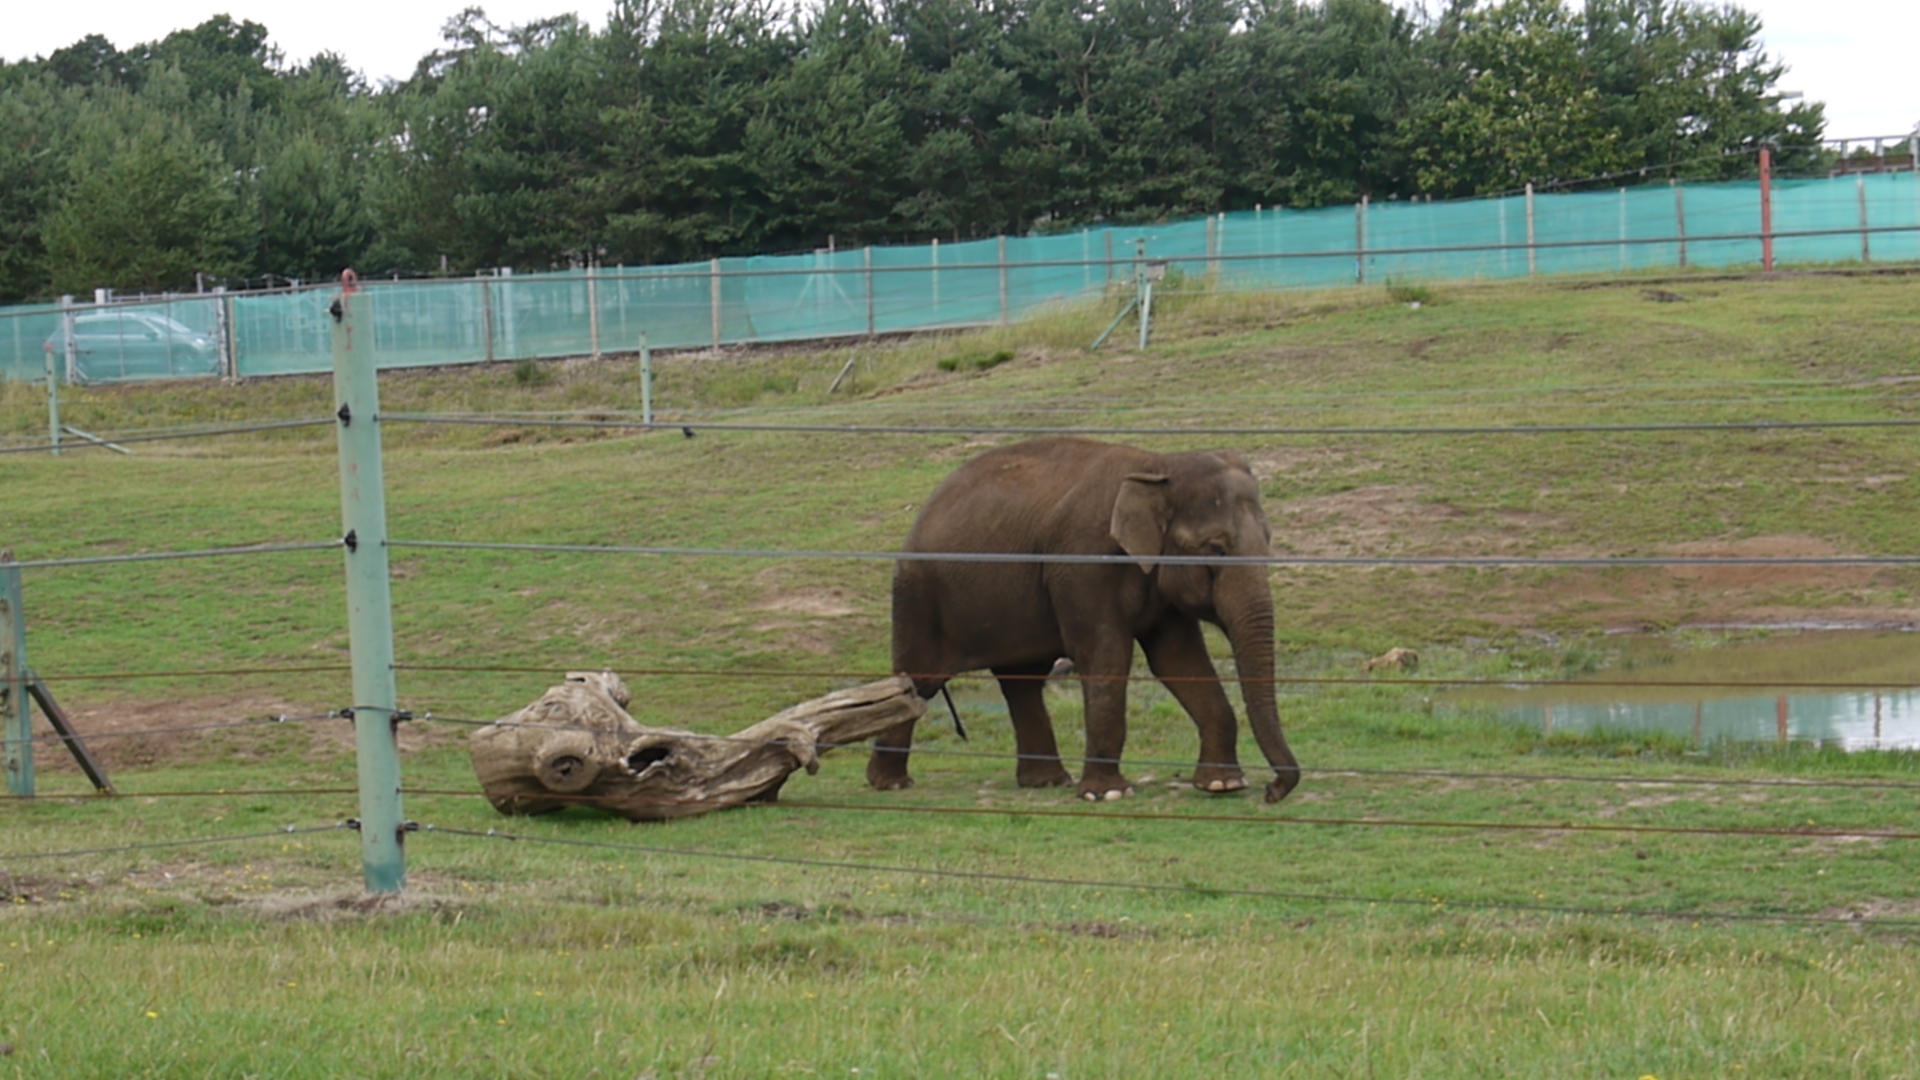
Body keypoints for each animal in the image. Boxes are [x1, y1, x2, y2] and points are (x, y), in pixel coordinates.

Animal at [875, 434, 1305, 799]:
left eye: (1268, 543)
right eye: (1215, 549)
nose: (1273, 791)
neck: (1158, 464)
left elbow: (1178, 661)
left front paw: (1223, 785)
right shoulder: (1084, 561)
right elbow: (1105, 655)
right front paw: (1108, 794)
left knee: (1022, 683)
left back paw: (1045, 782)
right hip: (917, 596)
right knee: (920, 681)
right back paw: (891, 784)